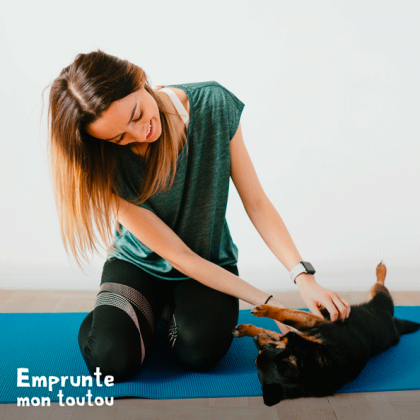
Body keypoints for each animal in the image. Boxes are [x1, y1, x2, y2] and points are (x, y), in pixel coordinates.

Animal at [231, 262, 420, 406]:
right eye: (256, 358)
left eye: (264, 351)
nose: (255, 340)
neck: (309, 366)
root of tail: (396, 325)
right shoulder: (301, 331)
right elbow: (274, 326)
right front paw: (248, 329)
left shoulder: (312, 324)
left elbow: (284, 314)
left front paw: (262, 312)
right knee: (379, 286)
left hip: (381, 301)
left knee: (379, 285)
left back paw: (381, 269)